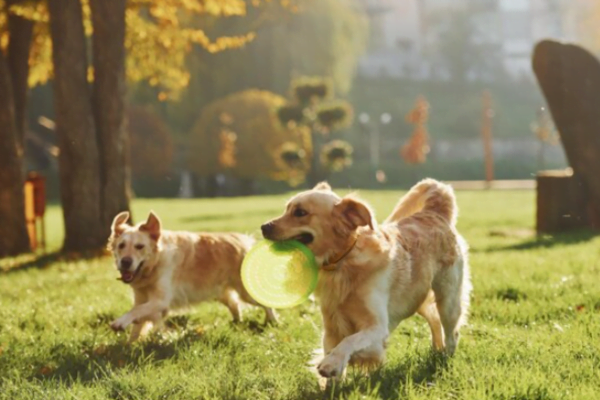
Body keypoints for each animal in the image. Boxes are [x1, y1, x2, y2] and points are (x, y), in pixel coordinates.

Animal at [108, 211, 276, 342]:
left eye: (139, 247)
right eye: (121, 245)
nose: (125, 262)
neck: (152, 266)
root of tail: (245, 240)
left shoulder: (161, 301)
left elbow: (136, 311)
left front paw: (120, 322)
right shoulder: (141, 298)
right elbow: (137, 323)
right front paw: (130, 345)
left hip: (246, 292)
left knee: (265, 303)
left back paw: (272, 322)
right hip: (220, 292)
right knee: (234, 303)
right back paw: (236, 322)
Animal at [260, 180, 472, 380]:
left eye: (300, 212)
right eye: (287, 209)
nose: (264, 227)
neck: (342, 262)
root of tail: (433, 212)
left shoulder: (377, 327)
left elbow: (350, 341)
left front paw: (332, 364)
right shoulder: (331, 327)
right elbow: (334, 351)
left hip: (448, 301)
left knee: (452, 332)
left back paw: (444, 359)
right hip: (419, 298)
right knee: (435, 320)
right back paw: (437, 350)